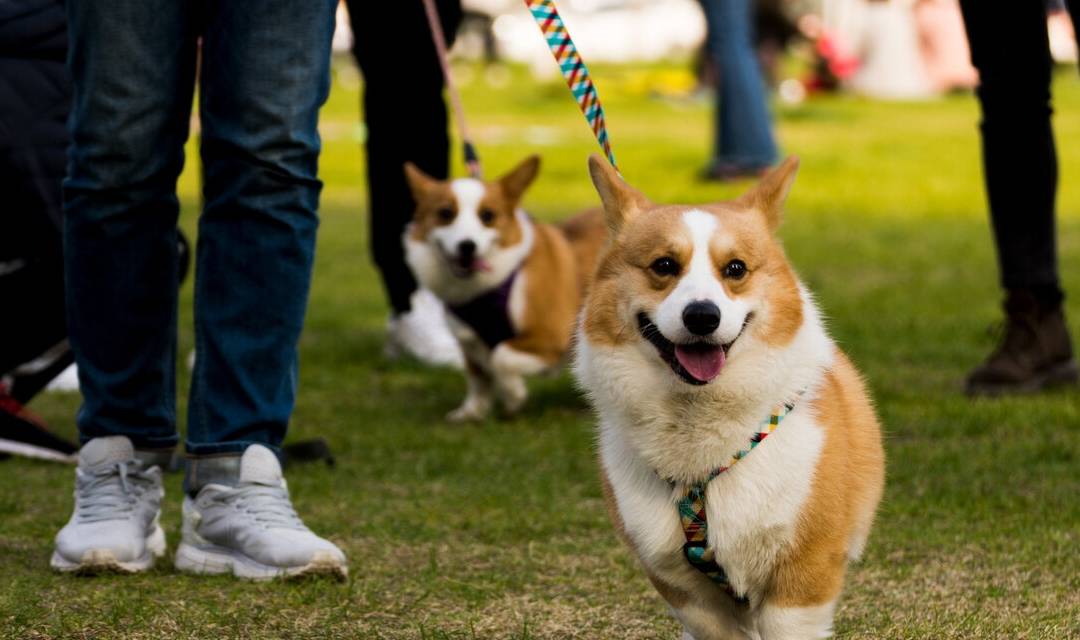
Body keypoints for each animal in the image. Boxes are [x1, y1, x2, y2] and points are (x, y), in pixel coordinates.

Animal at [403, 156, 609, 420]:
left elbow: (500, 357)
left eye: (487, 215)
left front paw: (513, 397)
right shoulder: (469, 341)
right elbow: (478, 377)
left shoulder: (550, 336)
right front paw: (472, 411)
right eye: (445, 213)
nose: (467, 246)